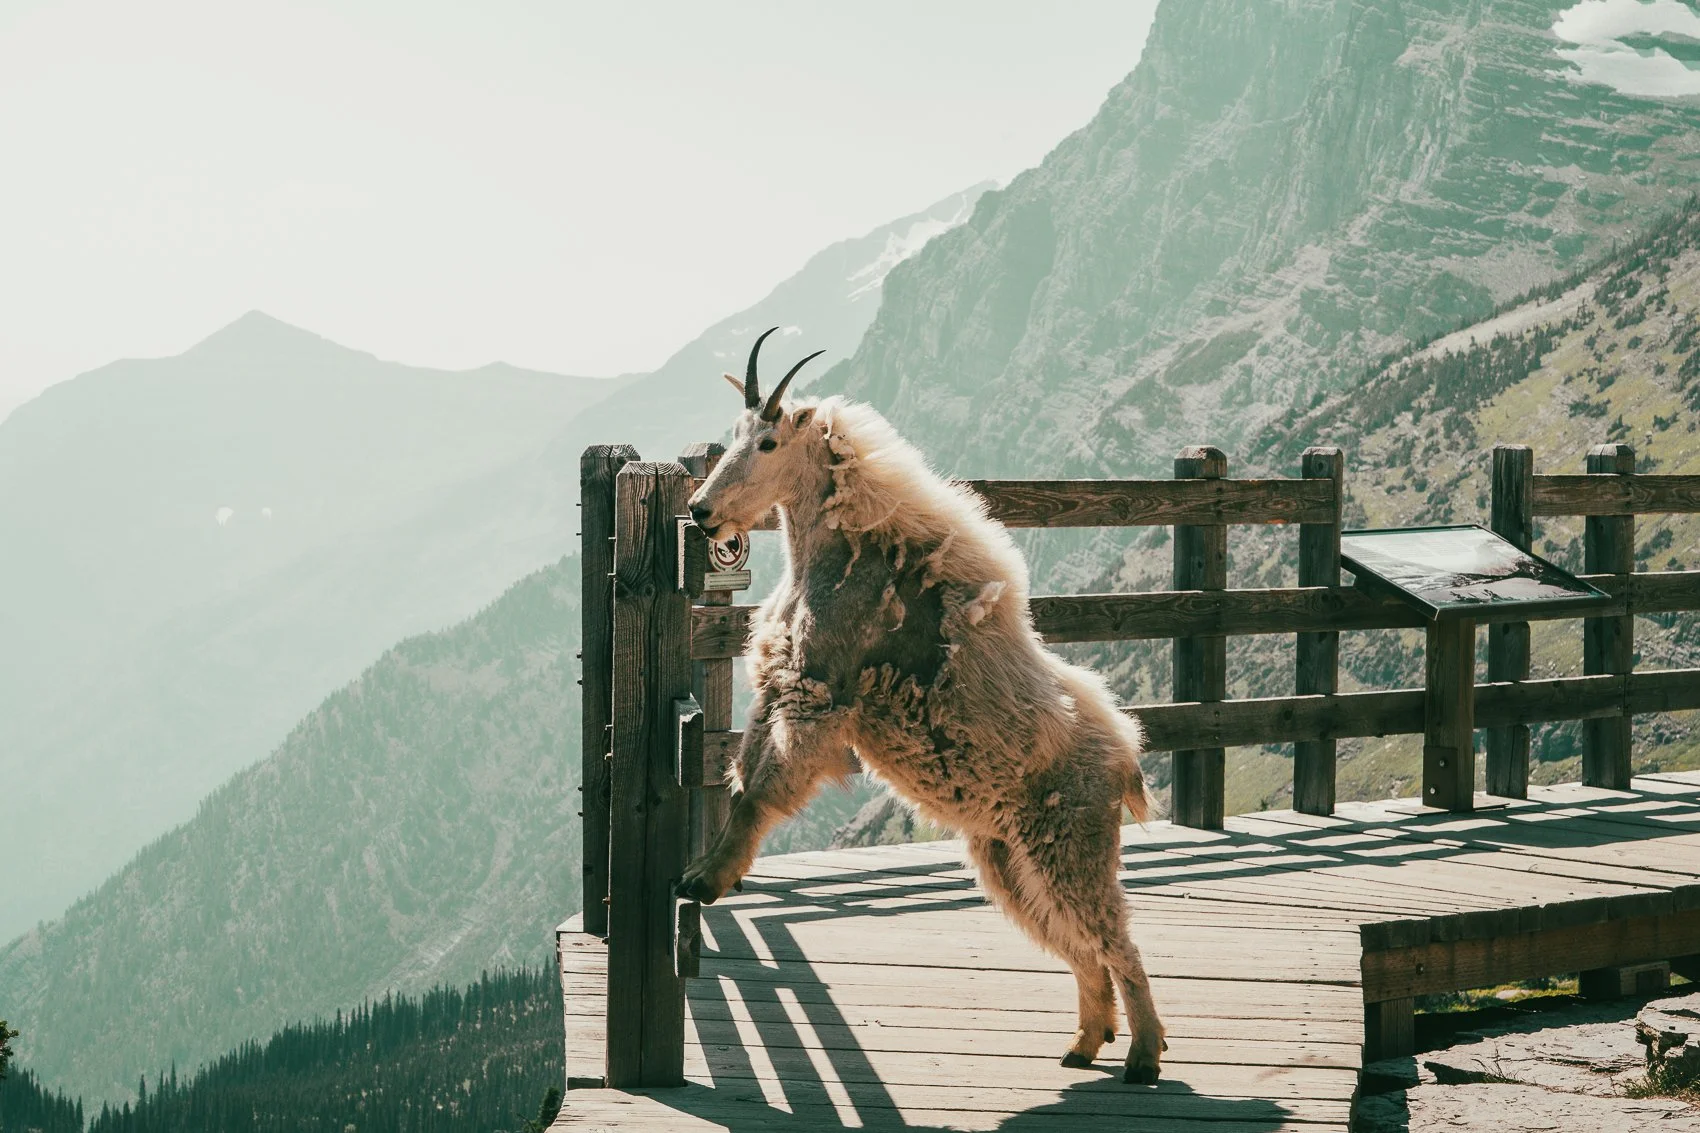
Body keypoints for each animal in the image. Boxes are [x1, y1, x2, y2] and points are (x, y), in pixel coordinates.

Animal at [677, 328, 1166, 1083]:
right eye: (732, 433)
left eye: (768, 441)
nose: (703, 510)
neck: (833, 555)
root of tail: (1126, 757)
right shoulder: (778, 685)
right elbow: (741, 781)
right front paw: (708, 870)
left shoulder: (816, 694)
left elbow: (760, 790)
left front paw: (705, 880)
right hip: (1010, 856)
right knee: (1079, 944)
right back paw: (1084, 1043)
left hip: (1072, 842)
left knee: (1116, 939)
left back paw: (1142, 1054)